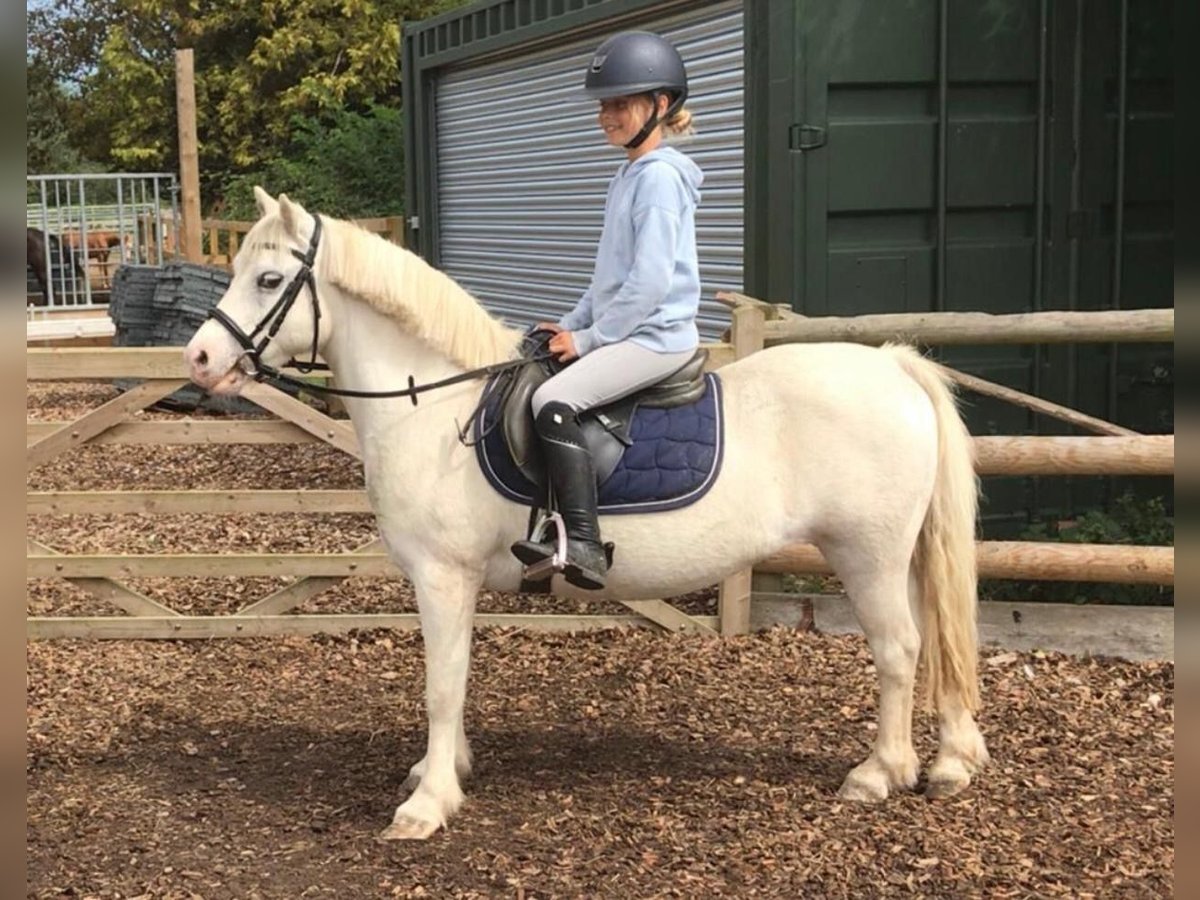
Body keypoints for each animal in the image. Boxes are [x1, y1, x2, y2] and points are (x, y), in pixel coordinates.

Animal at [184, 192, 984, 844]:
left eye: (266, 280)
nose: (198, 359)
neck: (435, 404)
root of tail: (893, 364)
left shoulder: (442, 577)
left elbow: (441, 684)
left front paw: (428, 804)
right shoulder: (455, 583)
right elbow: (456, 678)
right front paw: (443, 771)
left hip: (866, 555)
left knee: (899, 651)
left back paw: (879, 773)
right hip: (903, 555)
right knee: (937, 641)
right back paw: (948, 762)